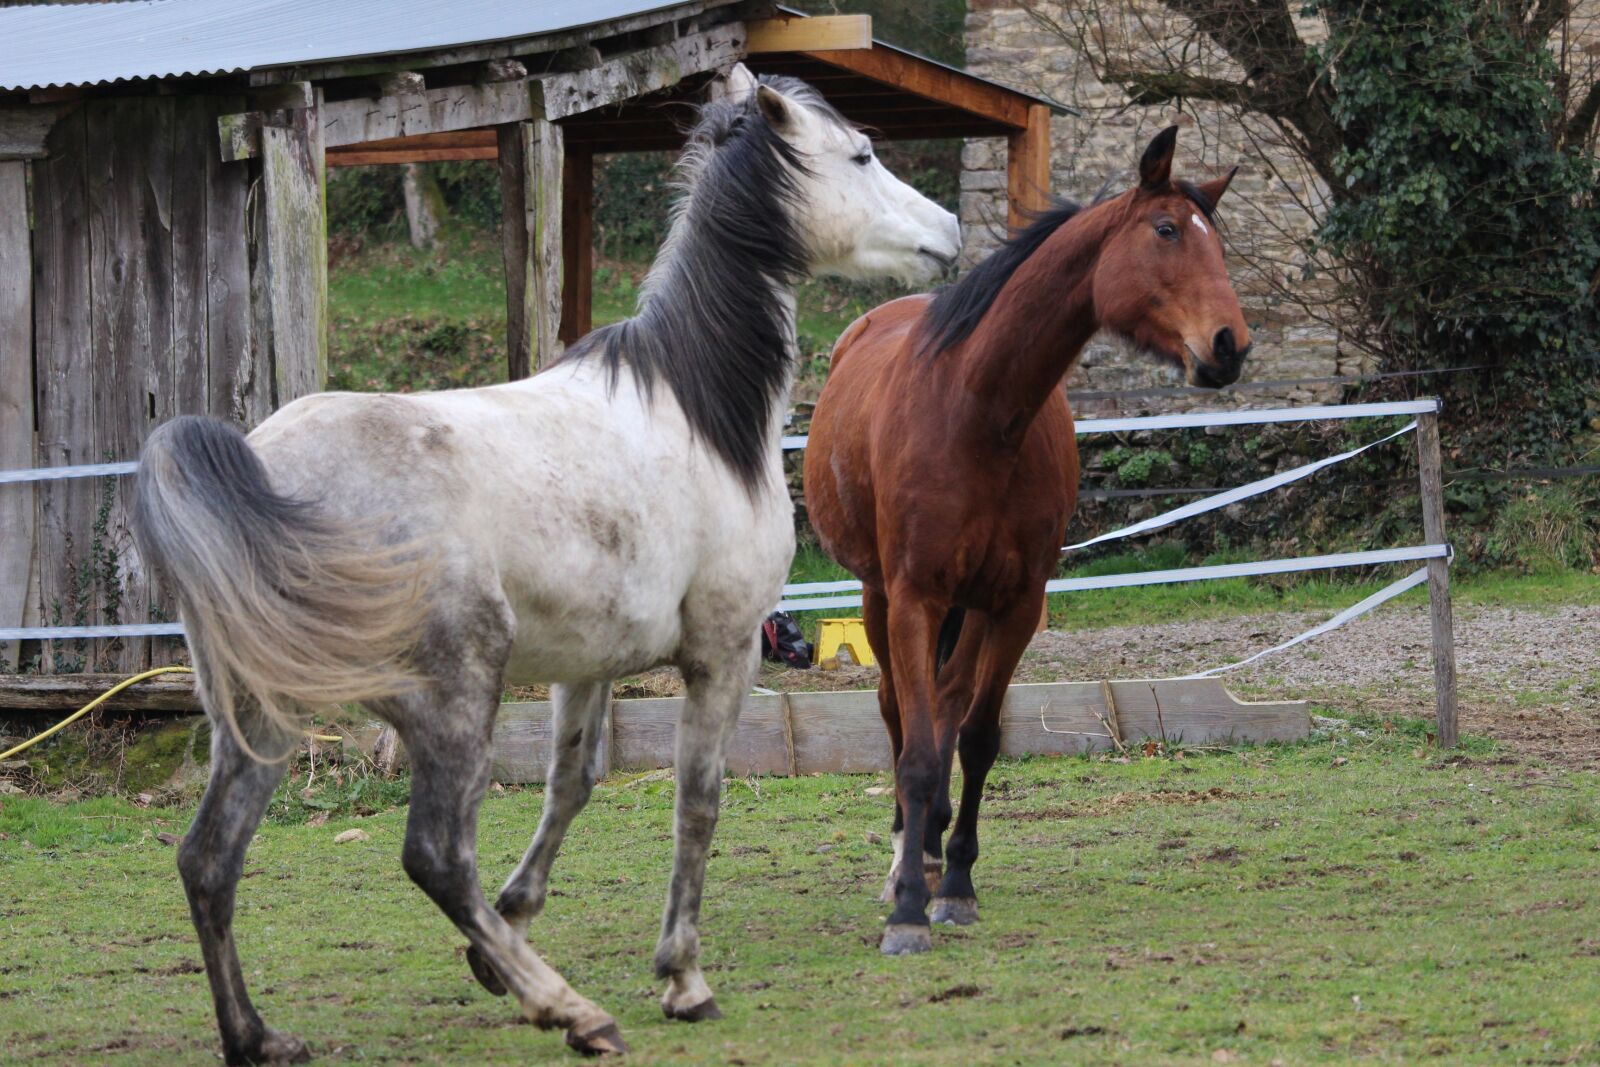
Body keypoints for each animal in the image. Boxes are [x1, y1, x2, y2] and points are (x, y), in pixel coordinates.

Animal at [133, 63, 959, 1063]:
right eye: (862, 154)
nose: (951, 232)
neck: (694, 404)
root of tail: (261, 469)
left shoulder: (587, 668)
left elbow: (573, 784)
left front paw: (507, 936)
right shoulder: (723, 652)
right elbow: (699, 800)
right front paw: (680, 976)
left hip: (261, 718)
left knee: (209, 857)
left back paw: (260, 1036)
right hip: (454, 700)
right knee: (435, 856)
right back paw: (572, 1010)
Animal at [803, 126, 1251, 957]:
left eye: (1218, 240)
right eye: (1166, 231)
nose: (1229, 344)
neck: (979, 408)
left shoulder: (1015, 604)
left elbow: (977, 737)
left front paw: (956, 883)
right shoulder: (916, 597)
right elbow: (917, 752)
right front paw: (908, 907)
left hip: (971, 609)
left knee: (945, 702)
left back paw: (933, 846)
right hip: (880, 596)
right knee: (897, 713)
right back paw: (902, 854)